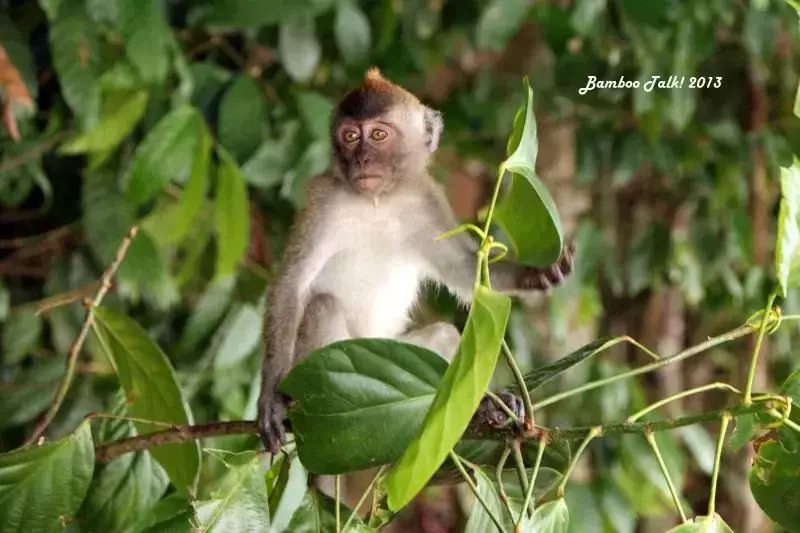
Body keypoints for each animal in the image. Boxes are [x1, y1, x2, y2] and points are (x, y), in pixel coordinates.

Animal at [258, 67, 576, 454]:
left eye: (378, 135)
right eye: (350, 136)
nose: (361, 159)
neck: (378, 200)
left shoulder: (425, 200)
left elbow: (461, 271)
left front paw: (535, 275)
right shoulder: (323, 203)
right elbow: (292, 282)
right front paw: (270, 400)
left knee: (442, 336)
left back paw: (483, 407)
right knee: (322, 305)